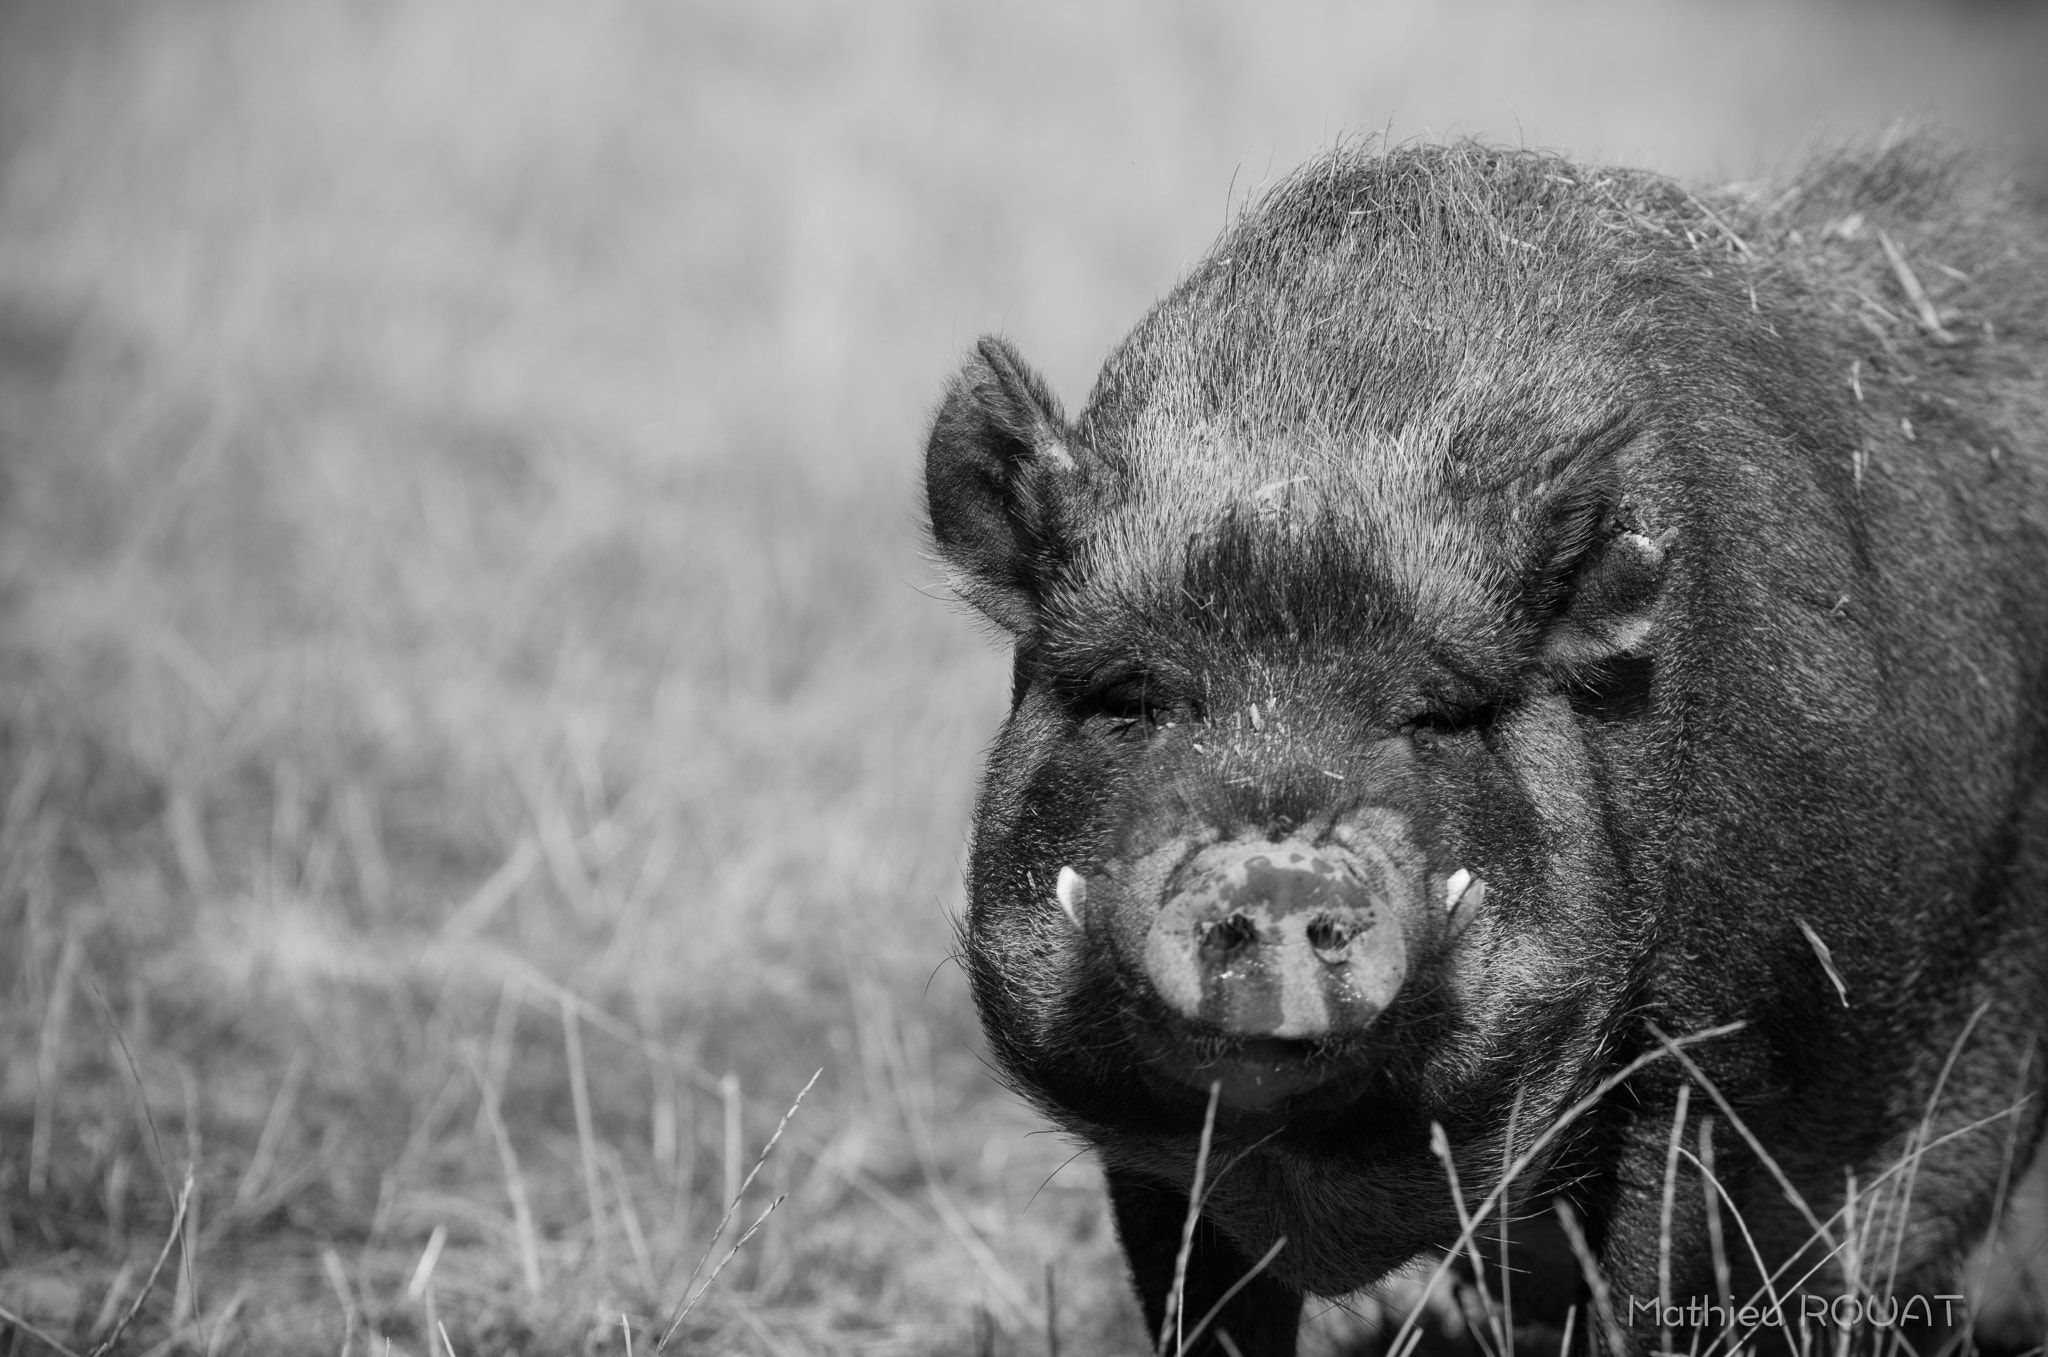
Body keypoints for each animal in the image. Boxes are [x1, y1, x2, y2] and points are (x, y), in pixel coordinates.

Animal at [925, 140, 2048, 1357]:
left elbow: (1652, 1288)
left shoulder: (1717, 1051)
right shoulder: (1145, 1150)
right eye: (1131, 699)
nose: (1274, 861)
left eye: (1434, 715)